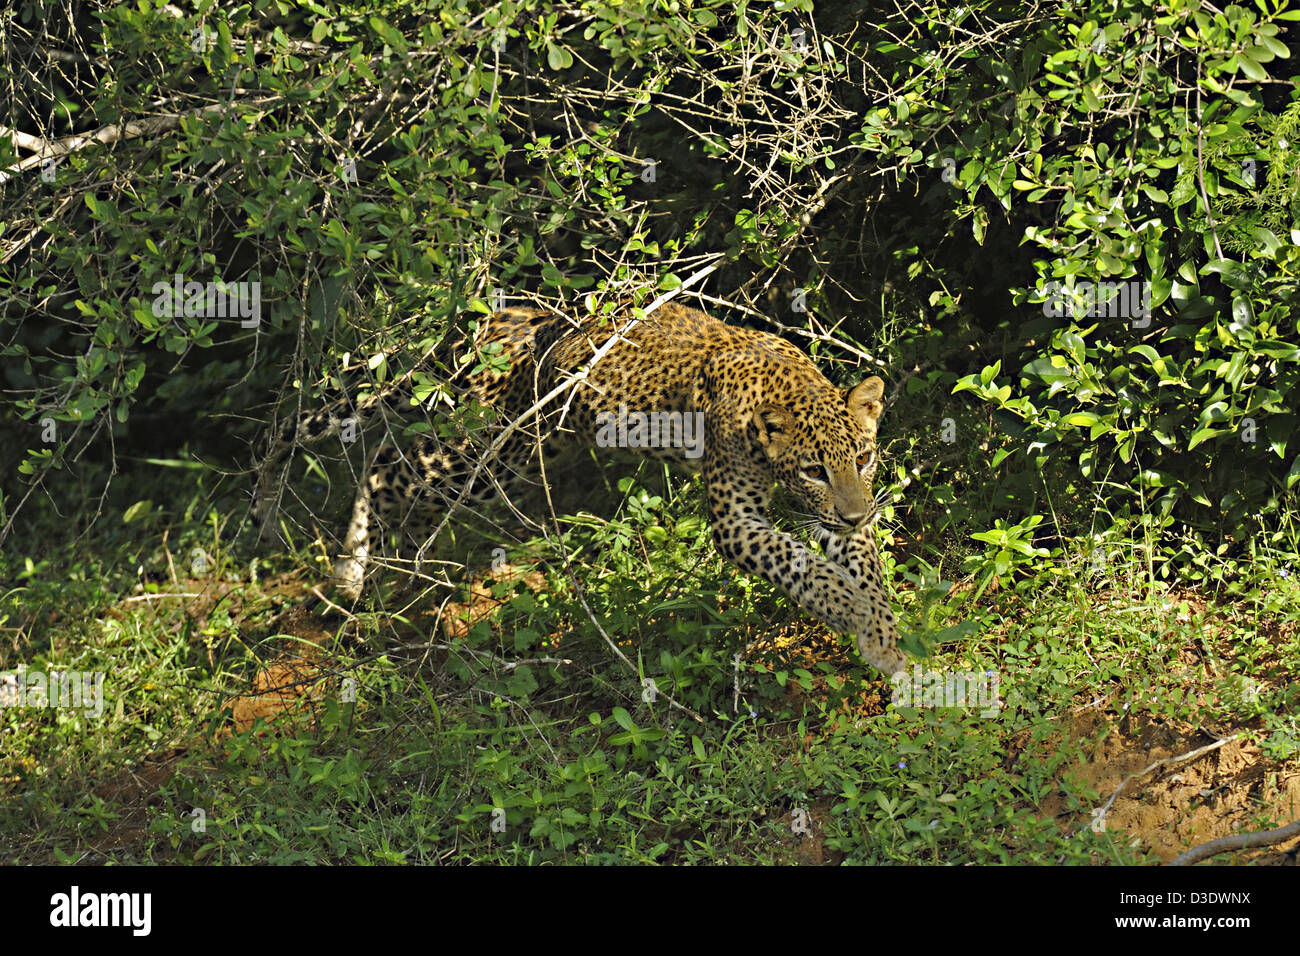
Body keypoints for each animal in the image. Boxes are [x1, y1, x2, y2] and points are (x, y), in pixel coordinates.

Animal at [248, 303, 909, 676]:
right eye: (814, 470)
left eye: (864, 458)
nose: (854, 514)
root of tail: (490, 319)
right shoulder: (736, 520)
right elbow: (809, 570)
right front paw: (860, 619)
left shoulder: (840, 518)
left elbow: (862, 570)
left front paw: (882, 636)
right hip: (484, 456)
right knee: (386, 467)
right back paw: (361, 576)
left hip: (527, 451)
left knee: (390, 464)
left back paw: (381, 570)